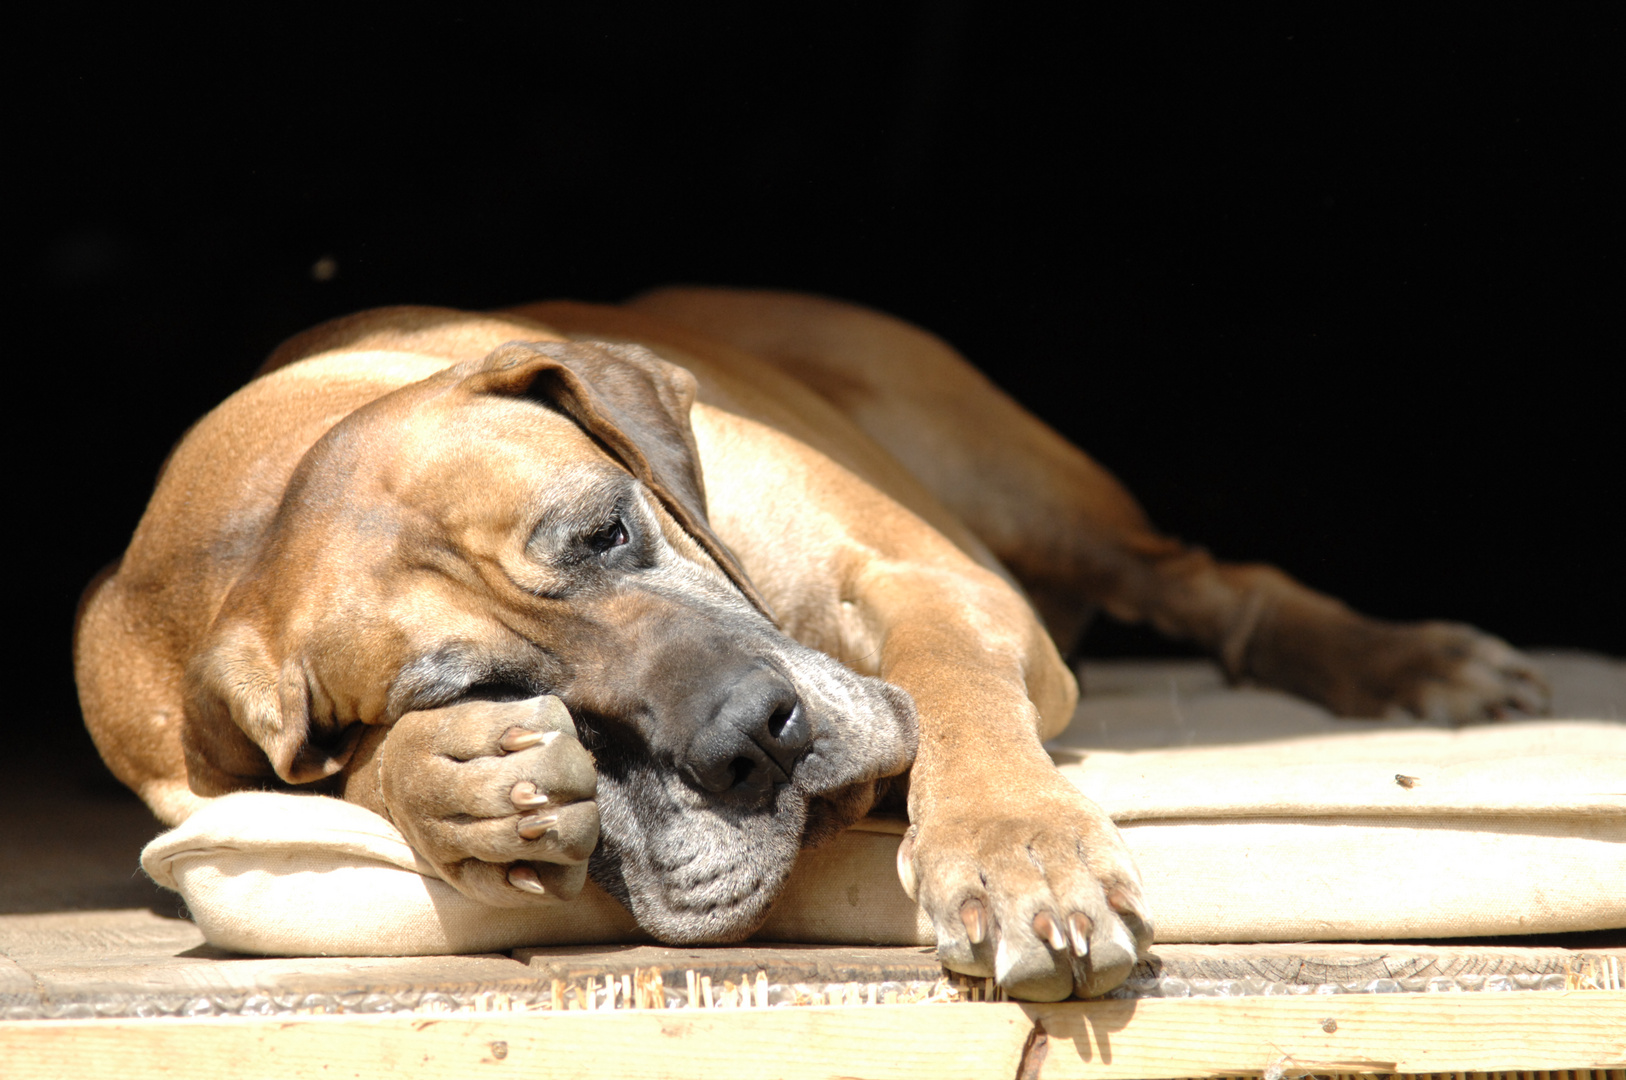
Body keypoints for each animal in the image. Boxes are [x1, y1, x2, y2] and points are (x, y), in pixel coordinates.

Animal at [76, 289, 1547, 1001]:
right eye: (486, 682)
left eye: (606, 531)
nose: (754, 739)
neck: (248, 511)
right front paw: (462, 786)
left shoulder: (938, 578)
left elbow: (950, 686)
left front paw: (1017, 855)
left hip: (1027, 490)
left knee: (1214, 584)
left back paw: (1408, 665)